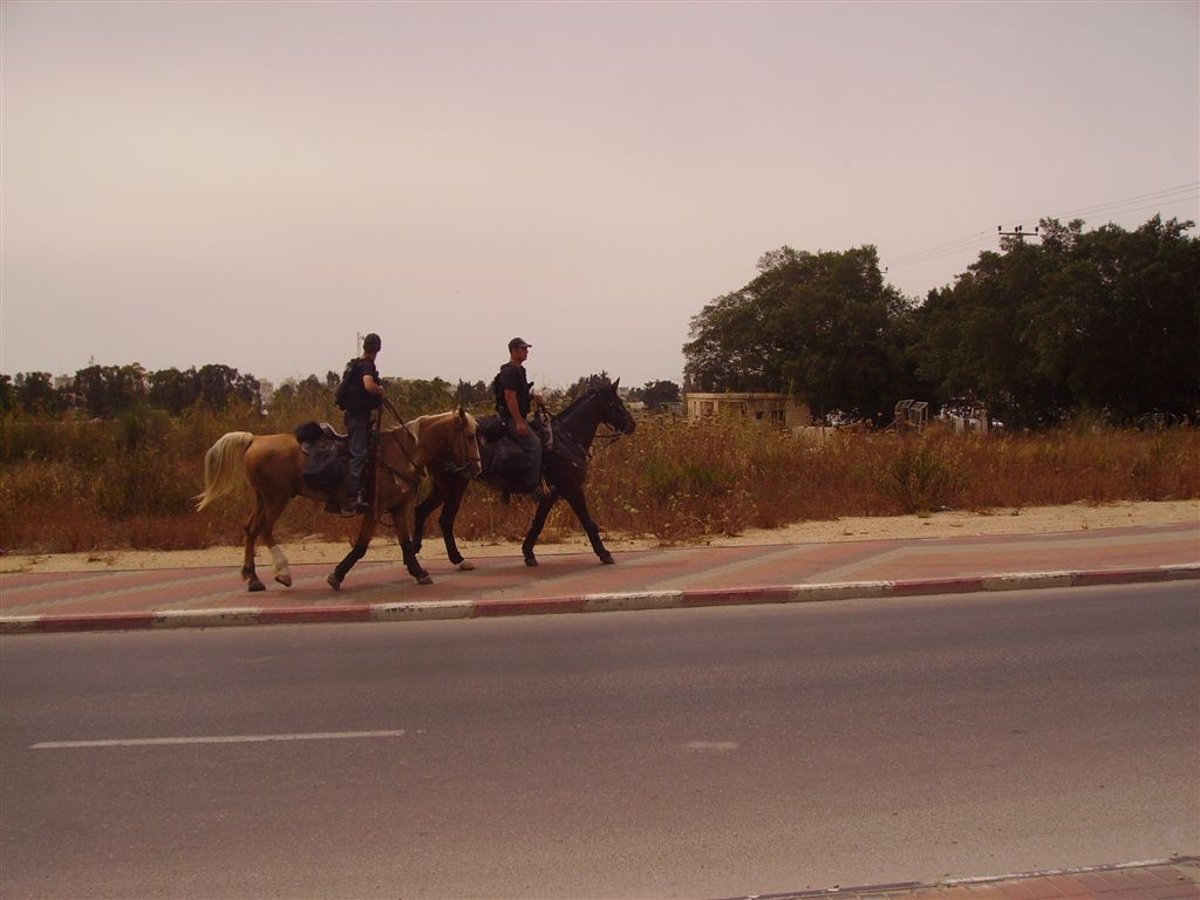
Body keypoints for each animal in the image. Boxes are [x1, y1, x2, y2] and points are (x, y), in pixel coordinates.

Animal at [194, 408, 480, 592]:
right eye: (469, 436)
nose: (477, 468)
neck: (399, 452)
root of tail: (254, 439)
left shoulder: (397, 507)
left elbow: (406, 543)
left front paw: (419, 572)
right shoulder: (374, 509)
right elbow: (362, 546)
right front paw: (337, 575)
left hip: (262, 497)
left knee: (251, 529)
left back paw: (253, 578)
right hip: (277, 497)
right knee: (264, 529)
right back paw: (282, 573)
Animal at [412, 381, 638, 571]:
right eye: (616, 404)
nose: (632, 425)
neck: (566, 438)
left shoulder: (550, 494)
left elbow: (537, 523)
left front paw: (528, 552)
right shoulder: (572, 489)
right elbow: (588, 521)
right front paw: (604, 553)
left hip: (441, 487)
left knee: (421, 511)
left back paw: (415, 549)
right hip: (455, 485)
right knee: (446, 520)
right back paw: (457, 559)